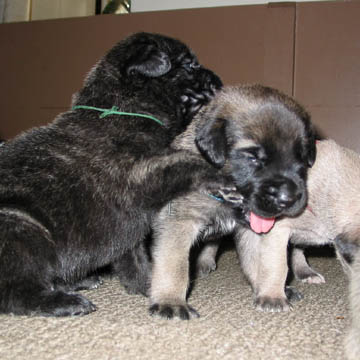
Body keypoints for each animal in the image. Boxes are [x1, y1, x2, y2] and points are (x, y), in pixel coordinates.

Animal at [0, 32, 225, 316]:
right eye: (189, 64)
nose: (218, 79)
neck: (123, 108)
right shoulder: (137, 176)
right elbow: (183, 161)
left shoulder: (128, 224)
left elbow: (135, 259)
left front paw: (147, 284)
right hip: (20, 227)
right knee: (16, 291)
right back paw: (64, 301)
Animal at [149, 85, 316, 320]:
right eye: (253, 158)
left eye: (301, 158)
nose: (288, 199)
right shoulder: (180, 222)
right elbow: (175, 263)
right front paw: (170, 301)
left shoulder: (254, 230)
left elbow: (262, 261)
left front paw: (269, 292)